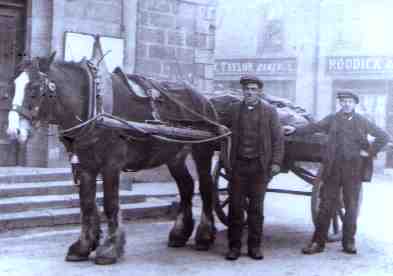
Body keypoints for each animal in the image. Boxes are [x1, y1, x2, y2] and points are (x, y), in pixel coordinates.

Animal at [6, 52, 220, 266]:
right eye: (13, 87)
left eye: (35, 88)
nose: (13, 132)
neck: (95, 106)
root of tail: (205, 99)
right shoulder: (85, 165)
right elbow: (87, 205)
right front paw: (83, 246)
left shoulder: (111, 164)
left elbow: (110, 204)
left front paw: (110, 249)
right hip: (174, 156)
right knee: (186, 186)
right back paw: (179, 233)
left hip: (202, 150)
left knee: (206, 186)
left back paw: (204, 236)